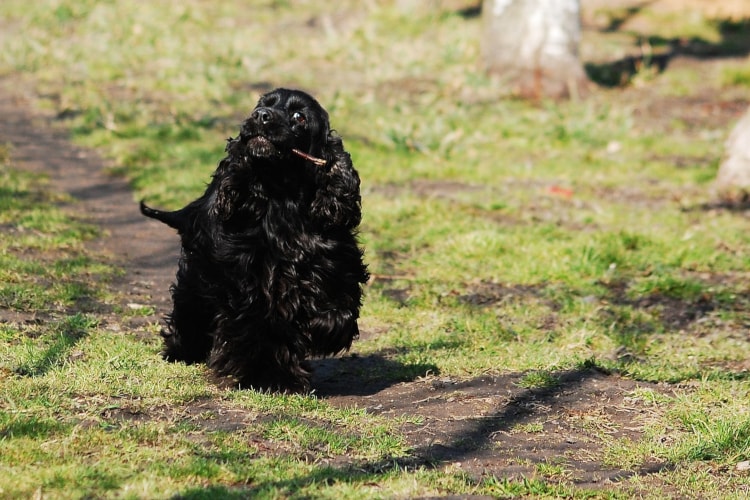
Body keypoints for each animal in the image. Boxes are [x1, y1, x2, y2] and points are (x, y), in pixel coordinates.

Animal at [140, 87, 370, 390]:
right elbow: (259, 328)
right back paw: (180, 352)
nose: (261, 116)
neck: (282, 199)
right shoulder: (249, 280)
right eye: (261, 105)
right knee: (190, 310)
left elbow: (338, 310)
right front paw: (267, 376)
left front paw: (322, 331)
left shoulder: (334, 262)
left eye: (299, 117)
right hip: (197, 276)